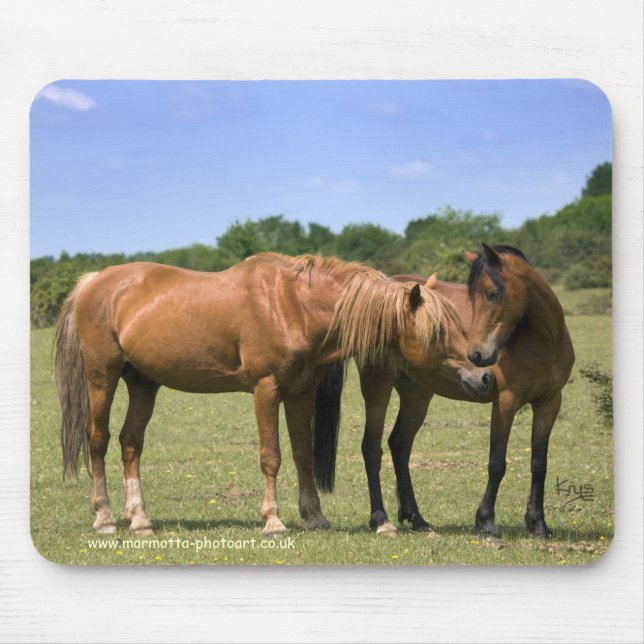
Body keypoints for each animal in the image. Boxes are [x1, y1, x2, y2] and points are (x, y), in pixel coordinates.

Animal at [54, 252, 494, 537]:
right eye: (438, 332)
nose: (484, 375)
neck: (292, 305)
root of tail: (95, 281)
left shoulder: (300, 393)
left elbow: (302, 454)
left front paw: (314, 517)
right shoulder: (265, 390)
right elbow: (272, 456)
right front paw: (273, 521)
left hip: (143, 382)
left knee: (131, 443)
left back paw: (140, 519)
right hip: (103, 376)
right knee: (98, 439)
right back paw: (105, 518)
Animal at [321, 244, 575, 538]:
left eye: (493, 293)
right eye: (472, 298)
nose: (478, 355)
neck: (542, 341)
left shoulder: (549, 403)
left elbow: (539, 463)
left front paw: (539, 525)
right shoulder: (505, 402)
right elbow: (497, 462)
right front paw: (487, 523)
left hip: (417, 393)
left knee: (400, 444)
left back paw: (416, 518)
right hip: (378, 385)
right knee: (372, 447)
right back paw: (380, 520)